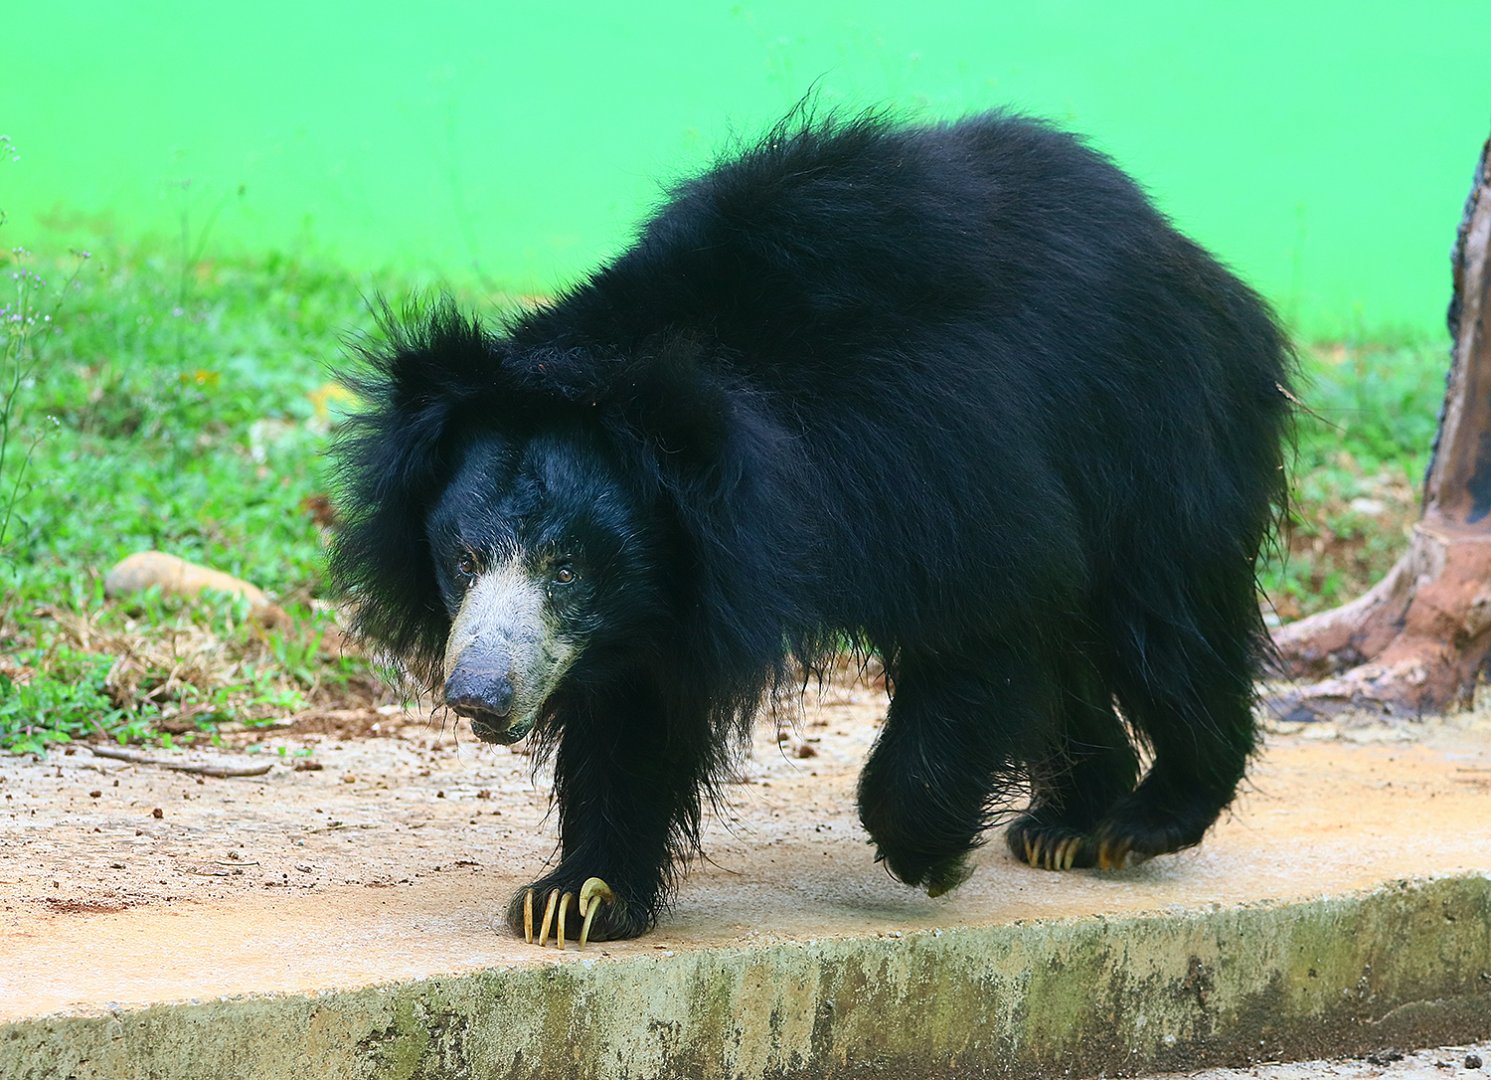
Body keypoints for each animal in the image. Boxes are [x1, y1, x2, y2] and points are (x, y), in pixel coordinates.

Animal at [328, 109, 1292, 946]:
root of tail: (1191, 259)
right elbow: (631, 721)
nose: (477, 695)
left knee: (1163, 626)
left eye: (566, 566)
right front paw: (574, 898)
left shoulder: (937, 458)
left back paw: (1142, 819)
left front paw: (927, 854)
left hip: (1159, 438)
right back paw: (1066, 823)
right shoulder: (664, 592)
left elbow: (993, 604)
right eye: (462, 559)